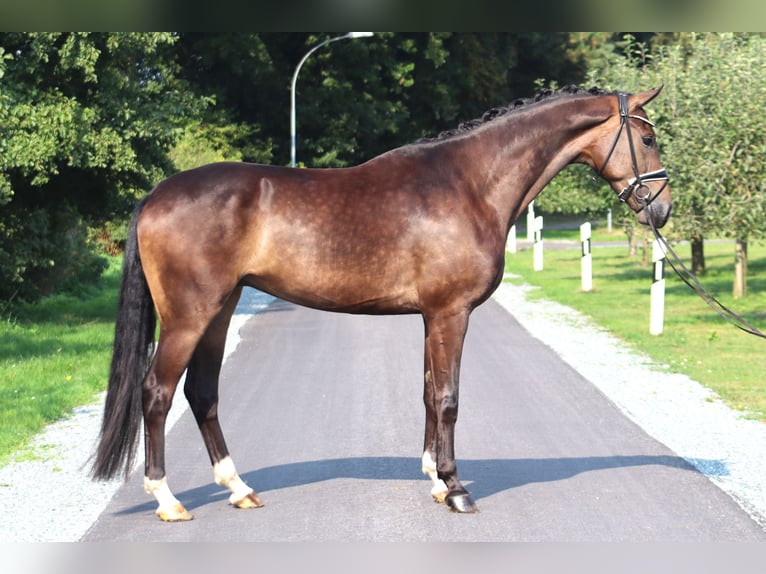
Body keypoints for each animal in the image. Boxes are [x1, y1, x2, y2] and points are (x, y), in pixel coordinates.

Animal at [91, 85, 672, 520]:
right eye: (647, 136)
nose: (661, 208)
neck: (469, 183)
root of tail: (157, 195)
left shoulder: (431, 317)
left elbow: (428, 394)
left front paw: (435, 480)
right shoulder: (451, 313)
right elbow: (449, 398)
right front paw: (457, 490)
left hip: (221, 310)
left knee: (202, 392)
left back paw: (238, 488)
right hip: (189, 317)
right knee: (157, 392)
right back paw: (167, 500)